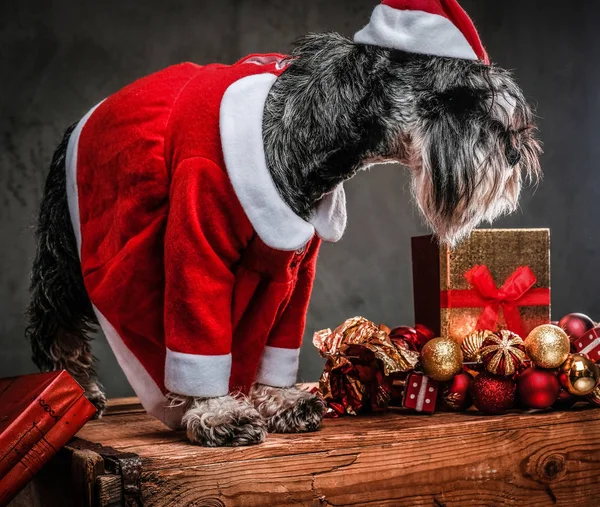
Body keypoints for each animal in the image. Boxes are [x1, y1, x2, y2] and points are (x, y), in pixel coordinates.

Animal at [25, 0, 540, 446]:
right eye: (461, 94)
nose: (516, 150)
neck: (308, 134)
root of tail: (78, 124)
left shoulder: (294, 269)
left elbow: (276, 344)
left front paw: (280, 401)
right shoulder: (196, 252)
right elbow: (199, 337)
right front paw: (218, 412)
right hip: (67, 252)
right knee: (54, 318)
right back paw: (73, 387)